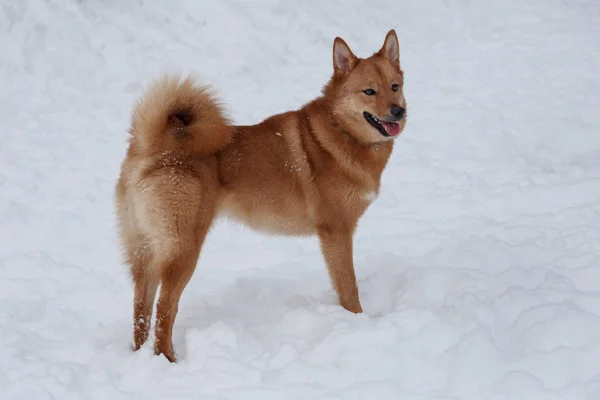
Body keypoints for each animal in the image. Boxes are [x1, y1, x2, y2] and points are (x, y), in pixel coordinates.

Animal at [115, 29, 408, 360]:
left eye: (394, 86)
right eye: (369, 91)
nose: (399, 111)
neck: (340, 132)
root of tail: (154, 147)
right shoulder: (336, 232)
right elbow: (349, 288)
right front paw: (357, 322)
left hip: (145, 252)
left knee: (141, 308)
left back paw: (139, 354)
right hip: (183, 250)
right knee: (166, 308)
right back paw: (168, 359)